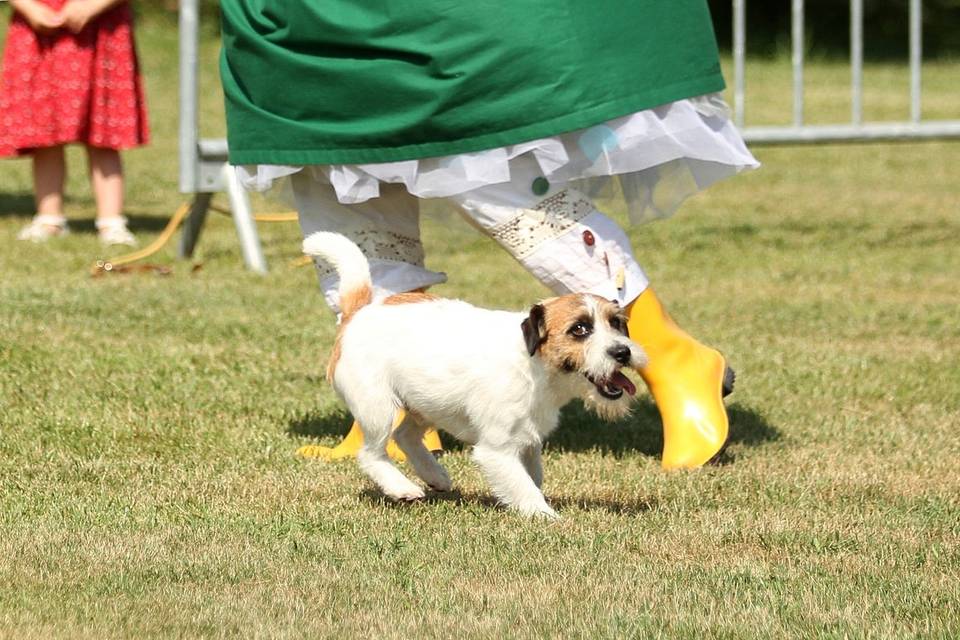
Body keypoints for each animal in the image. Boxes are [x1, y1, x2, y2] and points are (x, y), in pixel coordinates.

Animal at [304, 232, 648, 516]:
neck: (533, 364)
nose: (622, 352)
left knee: (406, 436)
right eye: (579, 329)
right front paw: (546, 516)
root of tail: (358, 313)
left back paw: (435, 476)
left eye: (616, 323)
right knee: (371, 453)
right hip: (378, 409)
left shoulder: (529, 442)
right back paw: (402, 487)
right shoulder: (497, 450)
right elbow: (522, 485)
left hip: (428, 403)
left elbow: (533, 476)